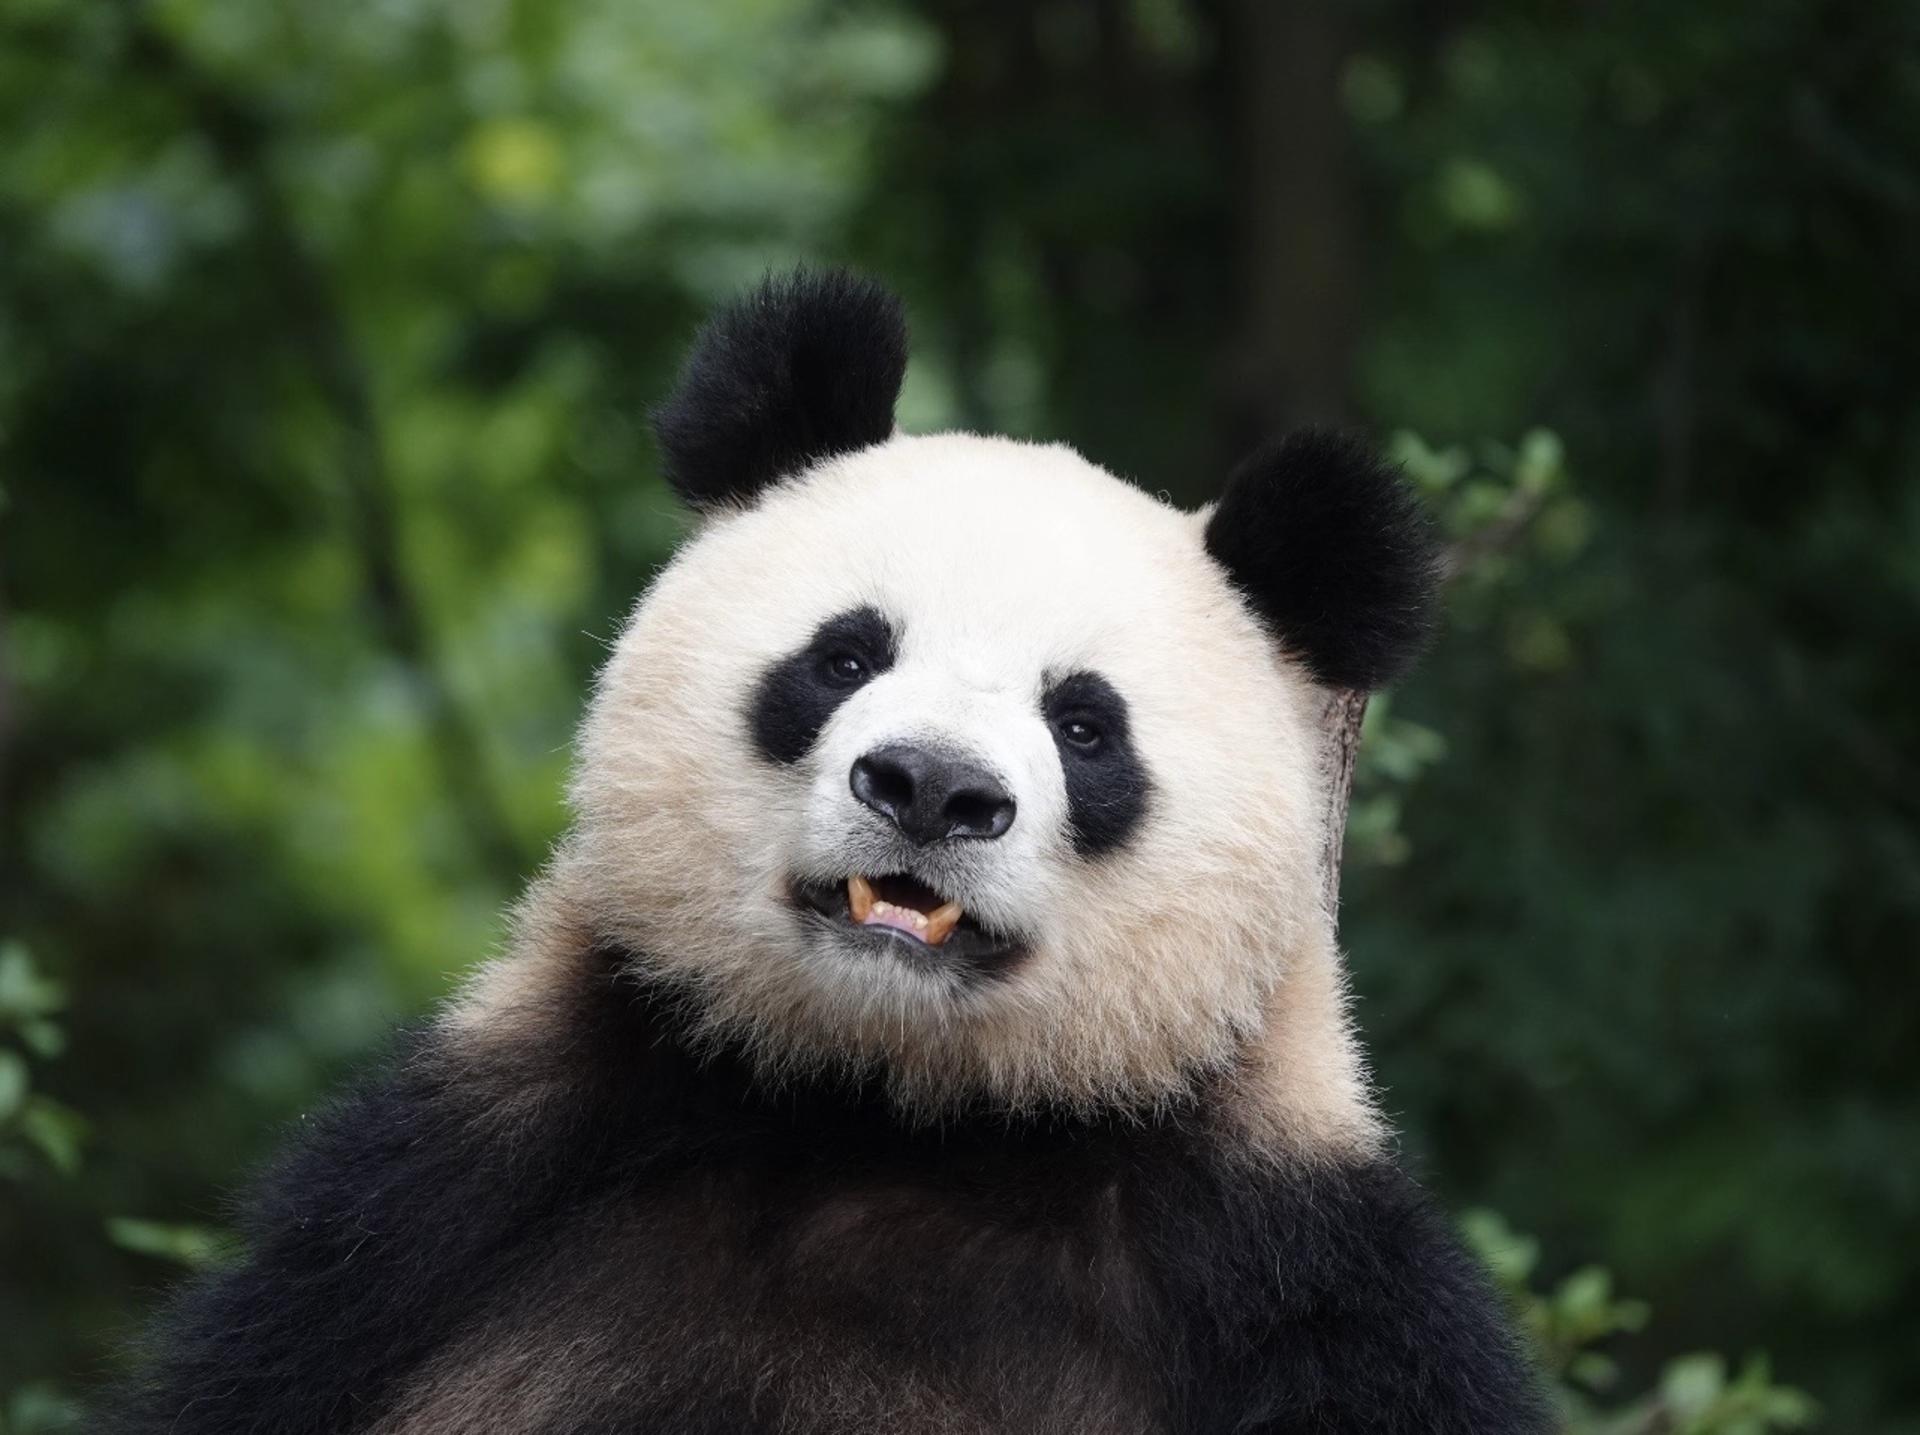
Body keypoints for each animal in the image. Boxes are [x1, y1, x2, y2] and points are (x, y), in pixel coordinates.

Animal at [108, 270, 1551, 1435]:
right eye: (845, 655)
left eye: (1085, 725)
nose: (932, 787)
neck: (886, 1111)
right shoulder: (437, 1199)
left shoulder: (1299, 1284)